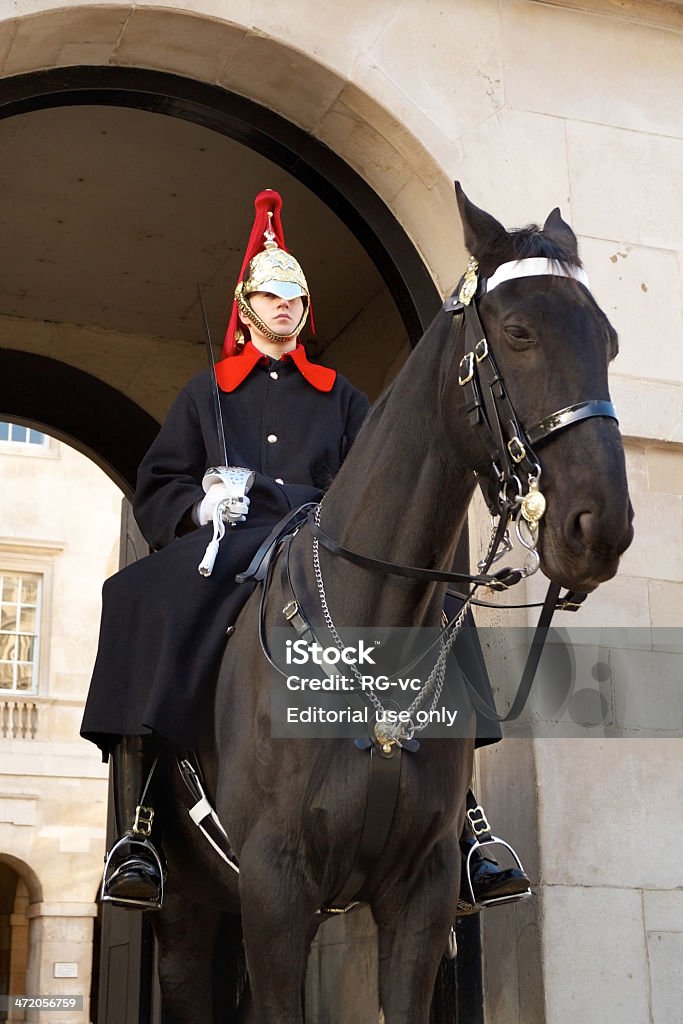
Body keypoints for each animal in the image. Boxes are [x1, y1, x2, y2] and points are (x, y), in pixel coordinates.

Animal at [147, 186, 634, 1024]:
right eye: (517, 332)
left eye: (604, 339)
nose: (599, 526)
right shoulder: (273, 889)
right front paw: (223, 503)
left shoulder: (418, 895)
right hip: (187, 906)